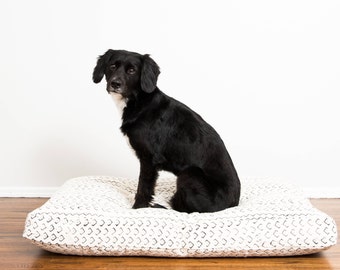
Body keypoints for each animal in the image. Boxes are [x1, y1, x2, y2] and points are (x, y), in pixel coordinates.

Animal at [91, 49, 240, 213]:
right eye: (112, 66)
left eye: (132, 70)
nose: (115, 83)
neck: (139, 102)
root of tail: (233, 203)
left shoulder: (149, 158)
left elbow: (143, 187)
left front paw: (139, 208)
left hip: (188, 174)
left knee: (187, 210)